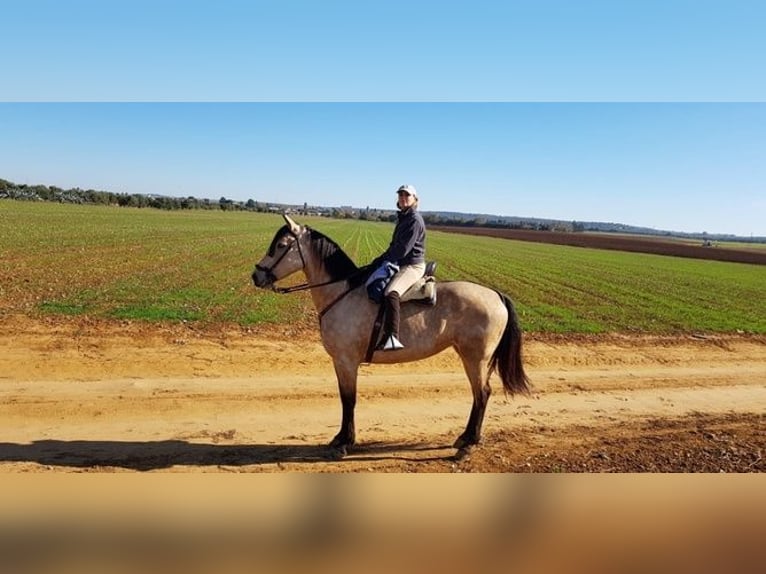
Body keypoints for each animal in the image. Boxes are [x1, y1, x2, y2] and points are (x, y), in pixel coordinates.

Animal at [255, 216, 532, 460]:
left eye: (281, 245)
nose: (256, 276)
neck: (342, 293)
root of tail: (495, 294)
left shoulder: (346, 361)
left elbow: (348, 400)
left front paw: (344, 443)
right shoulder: (341, 362)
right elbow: (346, 399)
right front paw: (342, 439)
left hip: (475, 359)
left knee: (482, 394)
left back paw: (468, 445)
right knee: (479, 395)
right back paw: (465, 438)